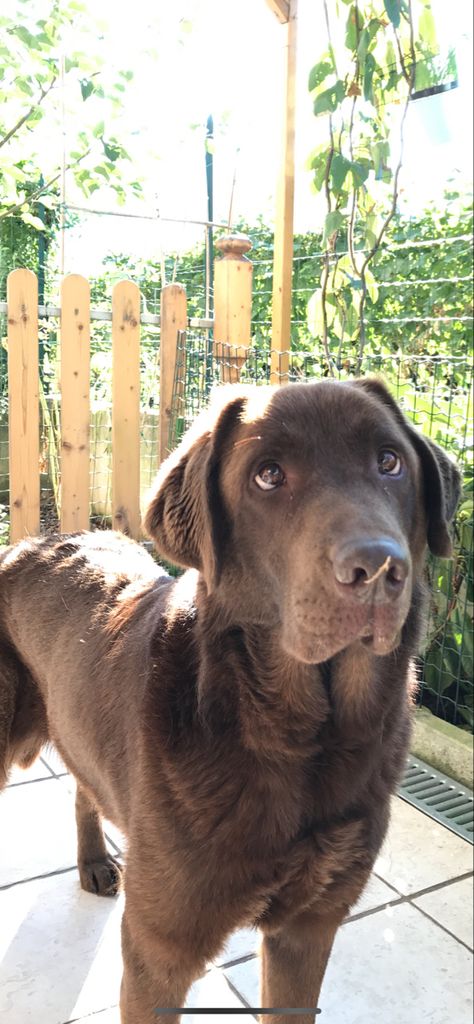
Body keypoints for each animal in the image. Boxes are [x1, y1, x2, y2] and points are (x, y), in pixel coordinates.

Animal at [0, 380, 462, 1019]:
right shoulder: (157, 951)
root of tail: (33, 543)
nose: (377, 567)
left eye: (390, 461)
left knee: (83, 784)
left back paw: (93, 862)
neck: (299, 739)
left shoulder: (309, 930)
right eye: (267, 475)